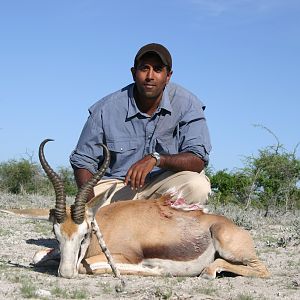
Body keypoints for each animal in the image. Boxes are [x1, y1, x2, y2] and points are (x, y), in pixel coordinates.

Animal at [32, 139, 270, 280]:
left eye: (84, 235)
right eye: (56, 234)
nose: (65, 273)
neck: (105, 227)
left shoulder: (125, 257)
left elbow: (86, 265)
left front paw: (155, 269)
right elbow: (37, 255)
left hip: (230, 247)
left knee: (261, 269)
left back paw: (208, 272)